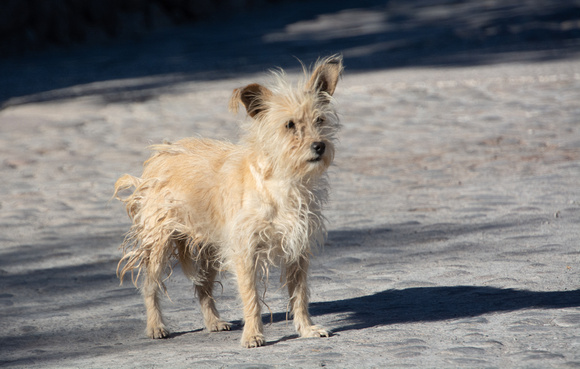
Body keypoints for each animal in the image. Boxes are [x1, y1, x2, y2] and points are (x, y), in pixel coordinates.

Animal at [113, 55, 342, 348]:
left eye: (320, 120)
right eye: (290, 125)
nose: (319, 146)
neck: (283, 181)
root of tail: (161, 152)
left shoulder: (297, 248)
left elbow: (300, 294)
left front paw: (306, 329)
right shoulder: (244, 251)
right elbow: (251, 297)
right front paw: (253, 335)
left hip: (210, 249)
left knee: (202, 287)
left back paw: (213, 322)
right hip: (159, 245)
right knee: (150, 285)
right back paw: (155, 326)